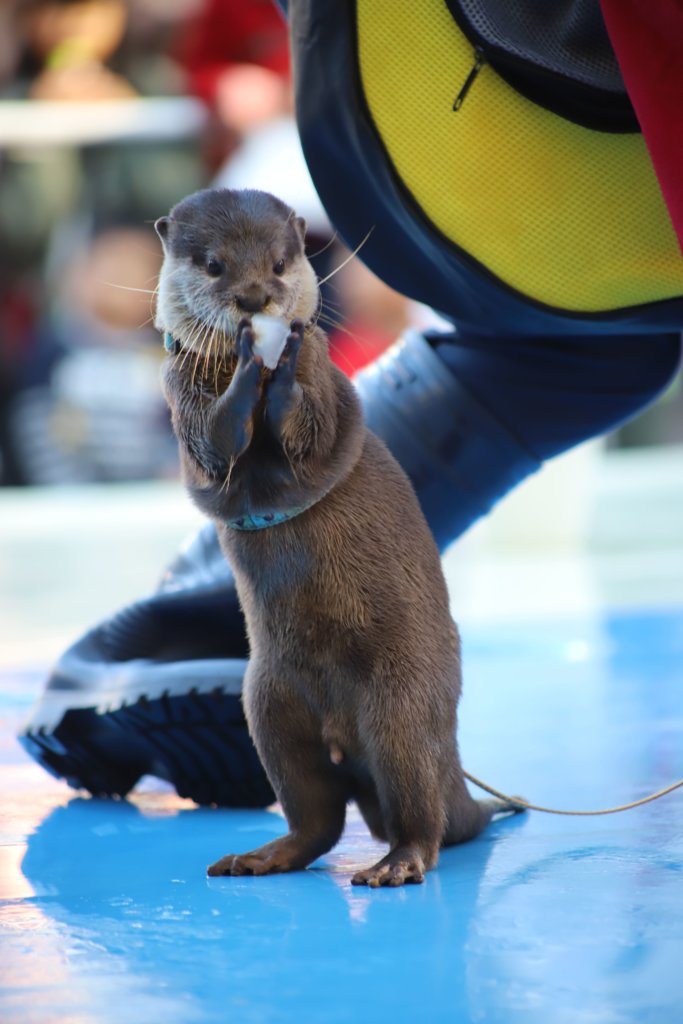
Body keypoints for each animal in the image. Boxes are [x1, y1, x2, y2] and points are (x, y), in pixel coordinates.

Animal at [153, 188, 518, 884]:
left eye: (278, 262)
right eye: (213, 265)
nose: (254, 299)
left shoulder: (323, 384)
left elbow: (312, 427)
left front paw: (283, 362)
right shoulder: (179, 390)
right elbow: (214, 445)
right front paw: (251, 367)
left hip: (402, 705)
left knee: (418, 813)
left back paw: (397, 864)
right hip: (266, 707)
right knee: (316, 820)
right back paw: (260, 856)